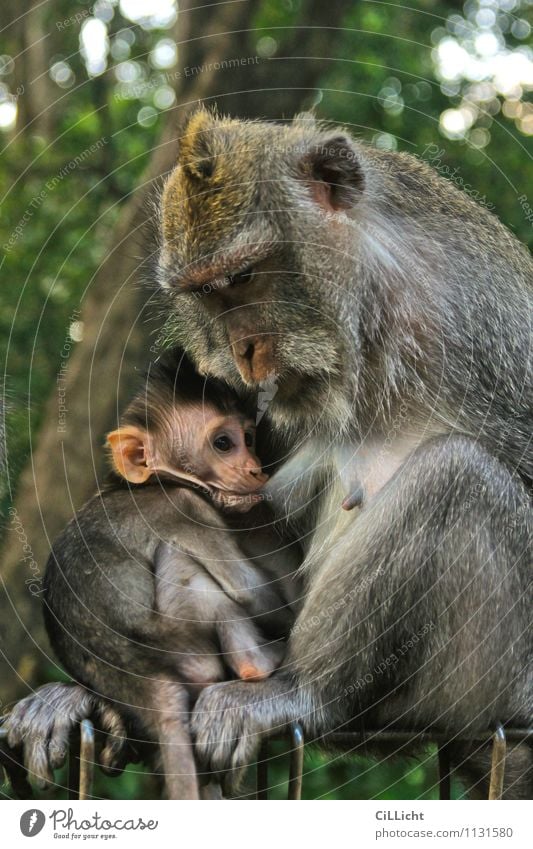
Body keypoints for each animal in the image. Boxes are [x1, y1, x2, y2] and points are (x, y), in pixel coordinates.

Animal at [7, 348, 300, 800]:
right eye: (223, 443)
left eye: (249, 439)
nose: (255, 469)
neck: (149, 483)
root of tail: (140, 678)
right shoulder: (185, 507)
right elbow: (251, 592)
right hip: (183, 640)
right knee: (186, 569)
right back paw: (258, 663)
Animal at [159, 111, 532, 796]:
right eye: (207, 293)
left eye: (245, 277)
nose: (243, 350)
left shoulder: (482, 321)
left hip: (488, 693)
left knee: (456, 475)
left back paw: (306, 692)